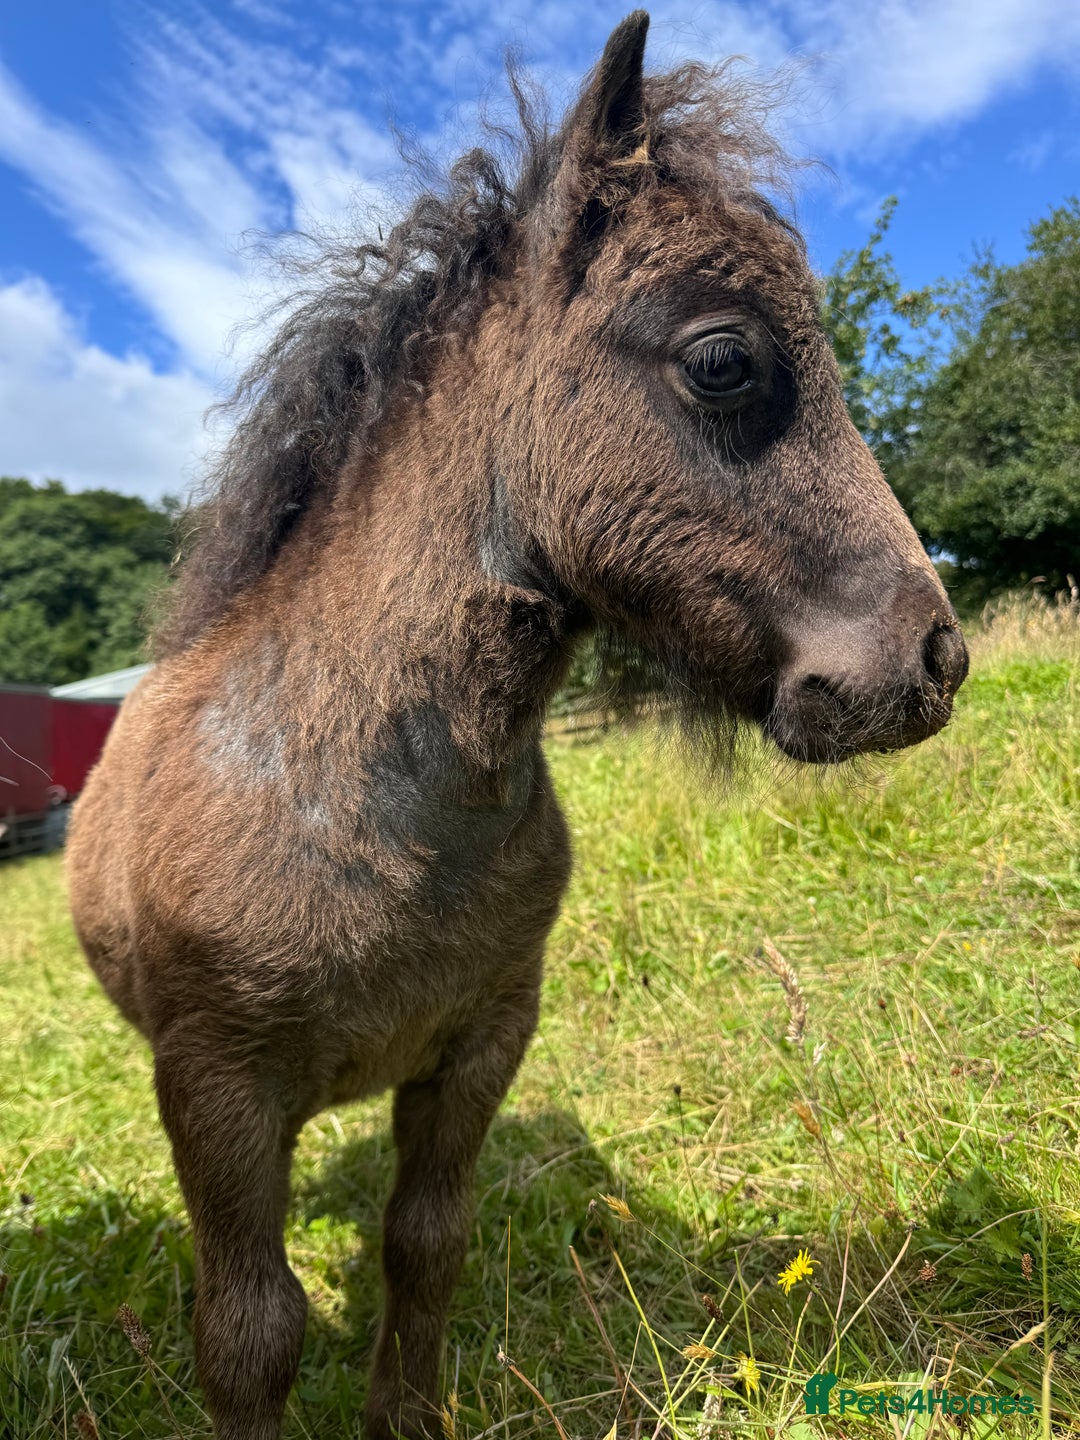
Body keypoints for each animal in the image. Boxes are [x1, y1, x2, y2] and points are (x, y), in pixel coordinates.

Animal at [66, 13, 968, 1438]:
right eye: (726, 360)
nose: (933, 660)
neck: (375, 806)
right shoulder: (217, 1090)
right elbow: (252, 1331)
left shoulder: (485, 1042)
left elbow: (426, 1244)